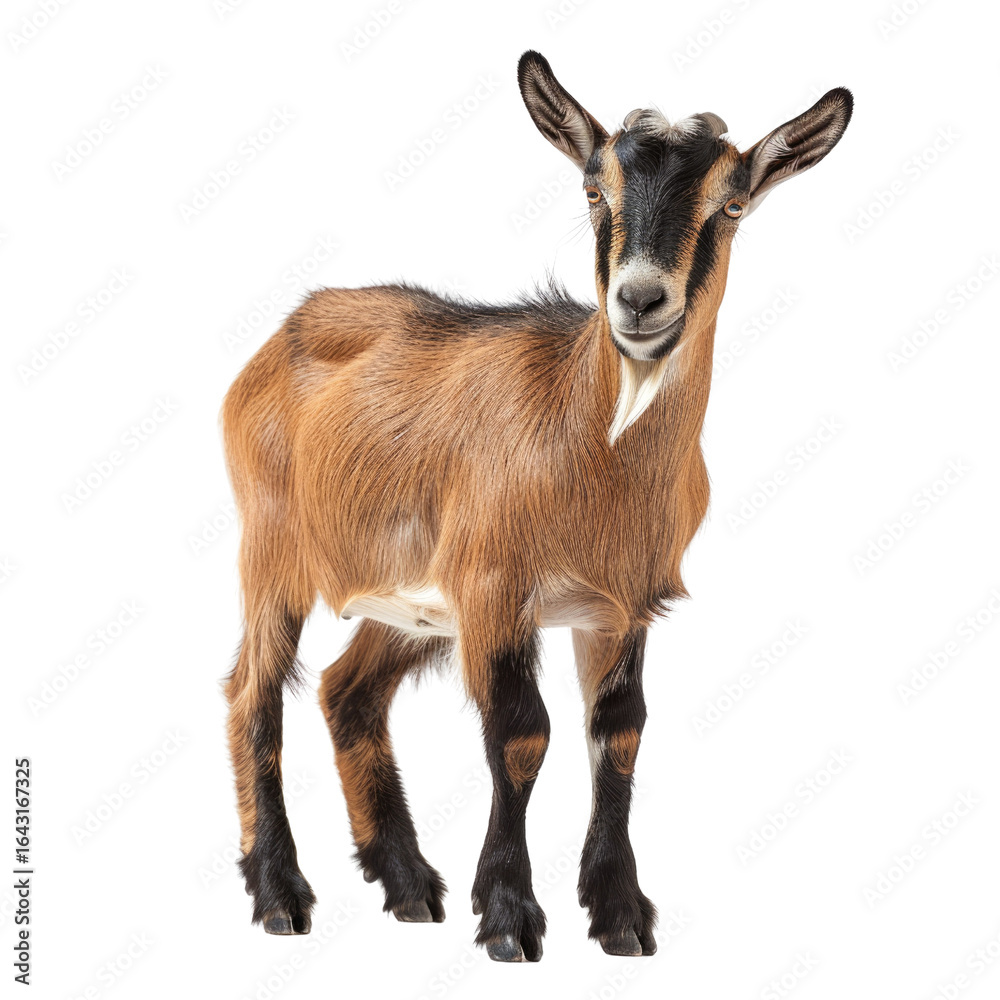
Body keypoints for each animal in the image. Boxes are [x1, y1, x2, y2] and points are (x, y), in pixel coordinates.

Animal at [221, 50, 852, 961]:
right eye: (594, 190)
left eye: (731, 204)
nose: (640, 300)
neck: (591, 449)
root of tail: (282, 334)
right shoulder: (496, 590)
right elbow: (523, 736)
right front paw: (510, 917)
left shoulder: (617, 607)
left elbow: (618, 733)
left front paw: (619, 915)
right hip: (272, 548)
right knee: (254, 692)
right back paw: (279, 895)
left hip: (412, 602)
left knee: (347, 691)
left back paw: (407, 885)